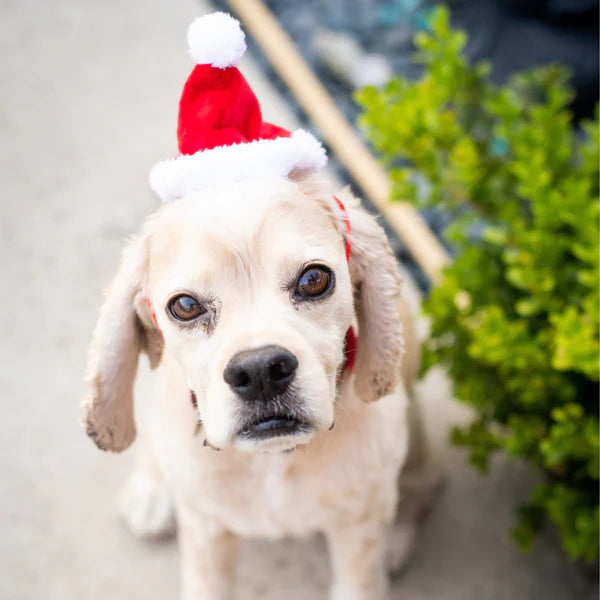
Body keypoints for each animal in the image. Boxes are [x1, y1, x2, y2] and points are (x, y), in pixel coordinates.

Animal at [82, 10, 434, 600]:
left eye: (315, 280)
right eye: (183, 306)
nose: (261, 371)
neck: (274, 463)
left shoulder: (356, 529)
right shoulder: (206, 533)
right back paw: (151, 493)